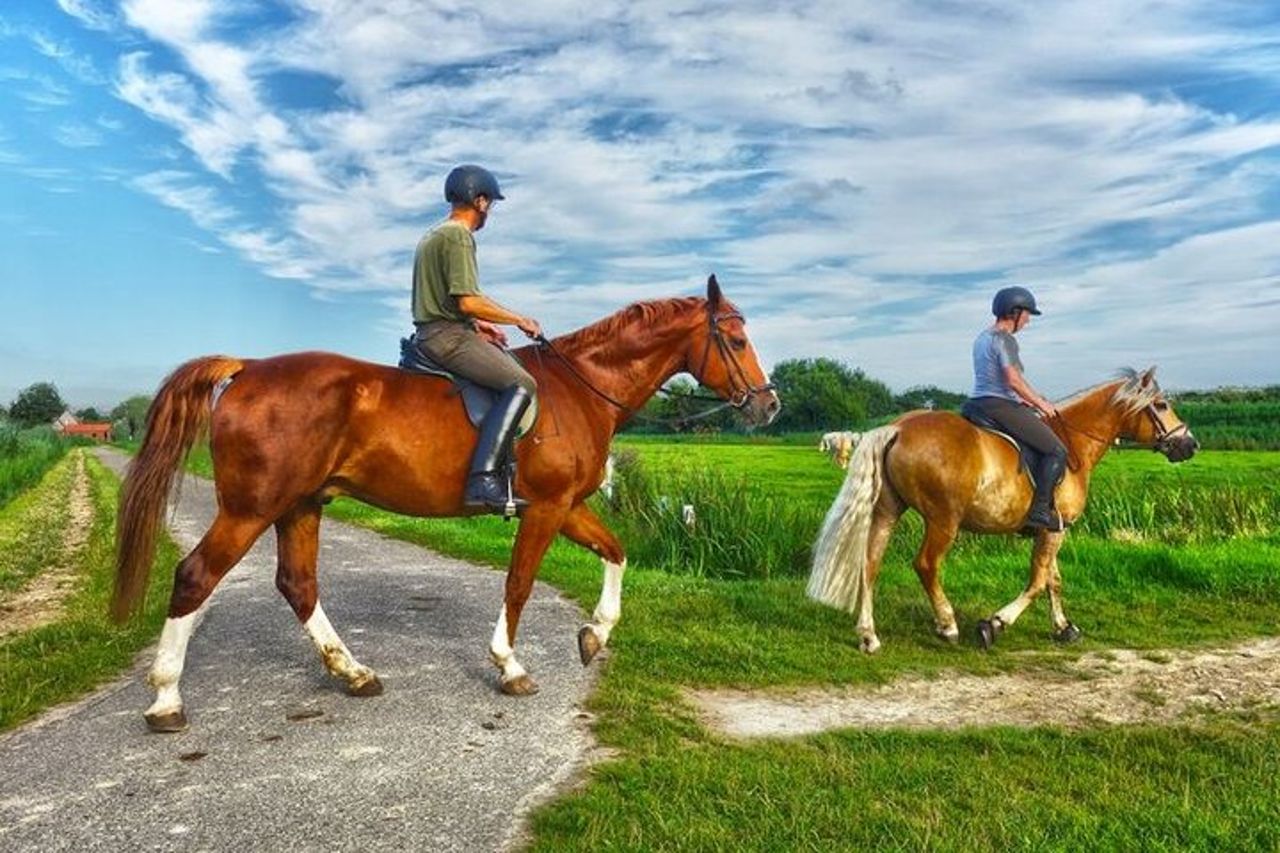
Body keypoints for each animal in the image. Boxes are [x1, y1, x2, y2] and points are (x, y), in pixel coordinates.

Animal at [113, 275, 779, 732]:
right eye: (737, 337)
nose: (769, 404)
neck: (580, 389)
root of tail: (247, 369)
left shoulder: (566, 506)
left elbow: (616, 553)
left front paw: (595, 634)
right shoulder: (546, 507)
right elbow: (519, 583)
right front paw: (510, 666)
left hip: (301, 505)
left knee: (297, 584)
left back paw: (354, 673)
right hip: (252, 509)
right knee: (195, 576)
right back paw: (166, 699)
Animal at [807, 368, 1196, 653]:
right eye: (1162, 405)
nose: (1190, 444)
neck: (1073, 444)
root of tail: (898, 427)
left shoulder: (1051, 528)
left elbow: (1053, 579)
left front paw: (1063, 628)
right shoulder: (1055, 529)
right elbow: (1037, 582)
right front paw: (993, 625)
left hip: (888, 512)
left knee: (870, 564)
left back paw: (869, 636)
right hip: (943, 520)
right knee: (926, 565)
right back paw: (947, 625)